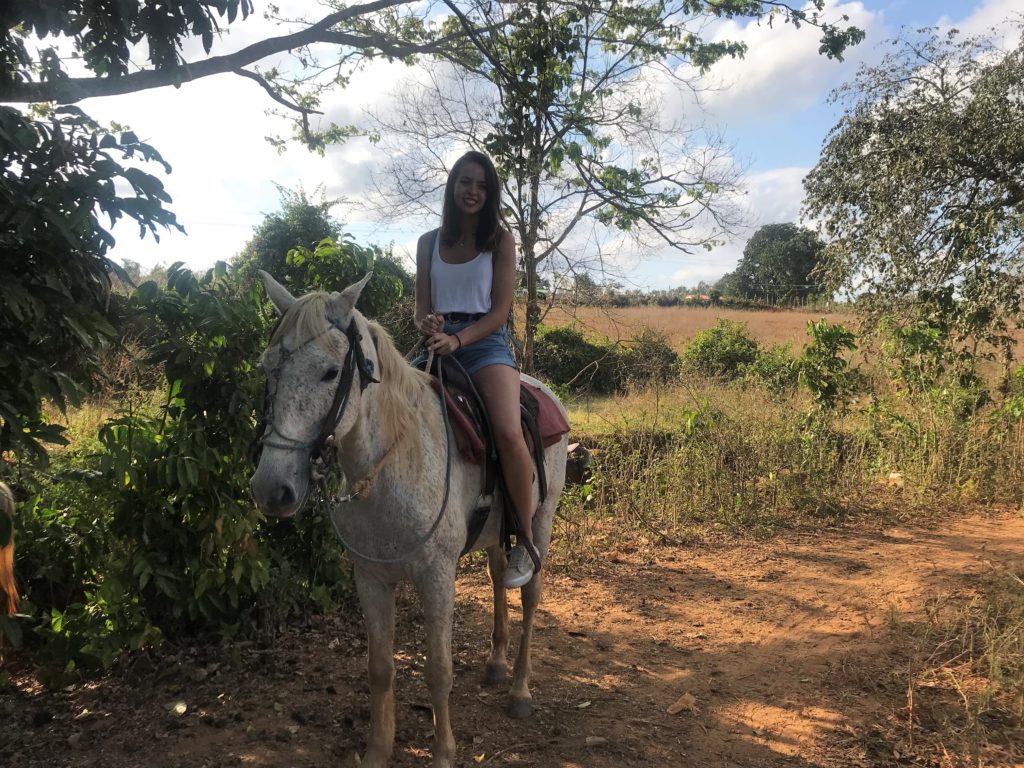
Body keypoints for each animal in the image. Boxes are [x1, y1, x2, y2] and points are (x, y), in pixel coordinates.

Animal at [247, 274, 569, 765]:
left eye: (329, 372)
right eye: (269, 369)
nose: (272, 488)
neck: (393, 466)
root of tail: (544, 392)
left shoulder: (436, 576)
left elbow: (438, 670)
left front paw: (443, 753)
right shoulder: (371, 578)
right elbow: (380, 667)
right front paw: (378, 751)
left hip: (542, 519)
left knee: (530, 594)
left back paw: (519, 689)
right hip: (496, 532)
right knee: (498, 576)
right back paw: (496, 665)